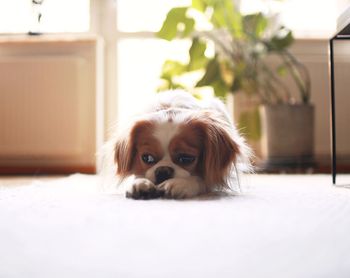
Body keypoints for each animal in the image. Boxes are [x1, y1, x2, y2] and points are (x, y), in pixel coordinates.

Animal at [110, 91, 250, 200]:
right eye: (147, 158)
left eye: (186, 158)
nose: (163, 170)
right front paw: (138, 182)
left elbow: (202, 179)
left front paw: (181, 184)